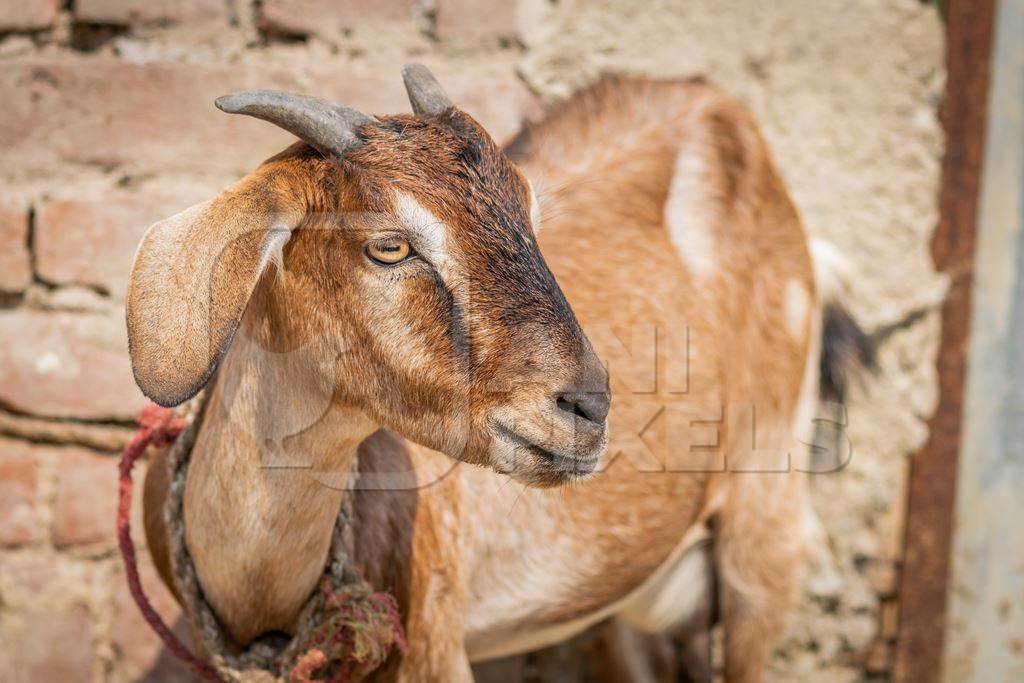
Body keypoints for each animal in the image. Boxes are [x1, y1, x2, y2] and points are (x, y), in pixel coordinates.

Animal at [128, 65, 847, 683]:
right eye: (389, 244)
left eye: (530, 213)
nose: (588, 406)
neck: (260, 592)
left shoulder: (435, 641)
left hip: (765, 520)